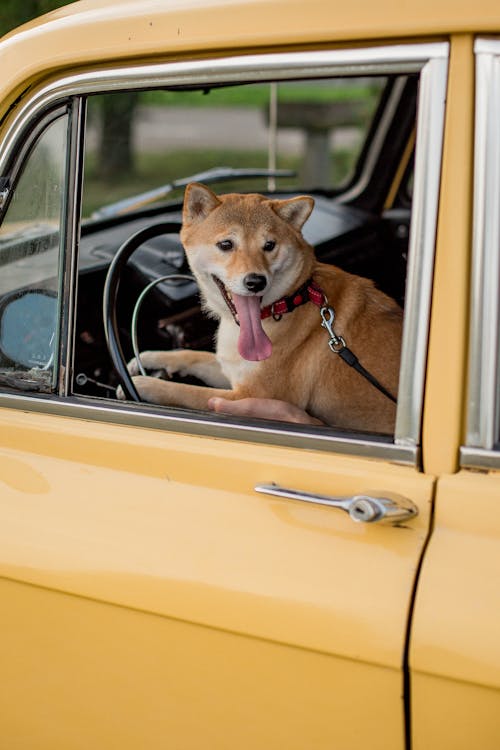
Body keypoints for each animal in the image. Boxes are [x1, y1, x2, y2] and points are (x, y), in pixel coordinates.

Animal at [125, 184, 402, 434]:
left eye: (269, 245)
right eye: (226, 244)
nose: (256, 281)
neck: (290, 301)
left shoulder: (249, 395)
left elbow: (188, 392)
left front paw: (145, 386)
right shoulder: (233, 370)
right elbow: (191, 355)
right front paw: (149, 358)